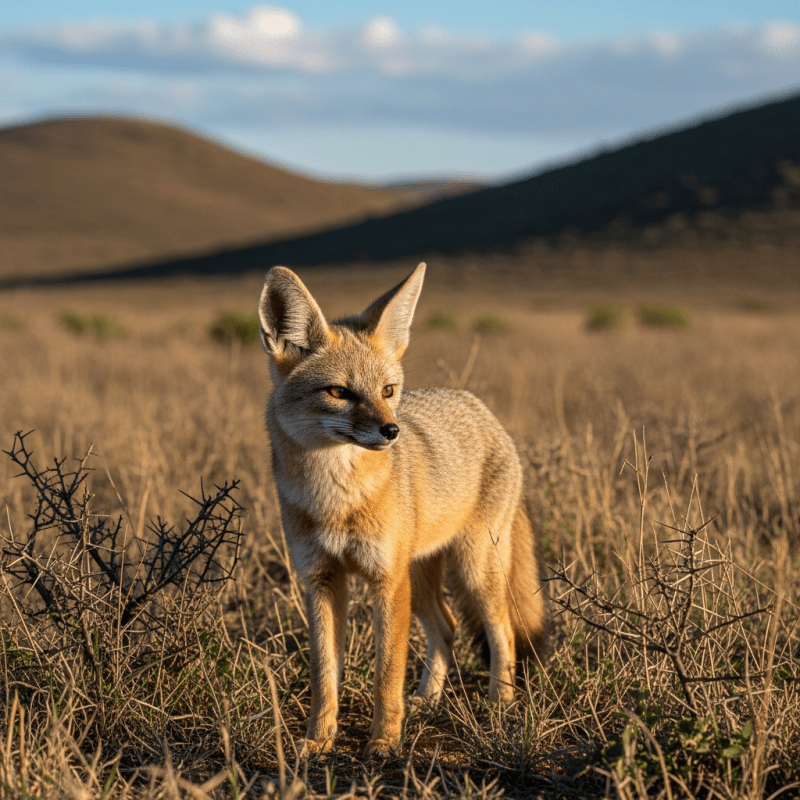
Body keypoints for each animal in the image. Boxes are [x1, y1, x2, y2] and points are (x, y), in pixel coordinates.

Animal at [257, 262, 548, 757]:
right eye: (339, 392)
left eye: (388, 390)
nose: (392, 431)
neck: (337, 498)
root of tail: (484, 411)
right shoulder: (321, 580)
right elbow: (324, 675)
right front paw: (319, 739)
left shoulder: (386, 581)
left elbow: (386, 672)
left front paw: (384, 741)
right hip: (422, 575)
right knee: (448, 628)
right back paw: (428, 700)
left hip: (473, 570)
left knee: (503, 632)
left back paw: (499, 706)